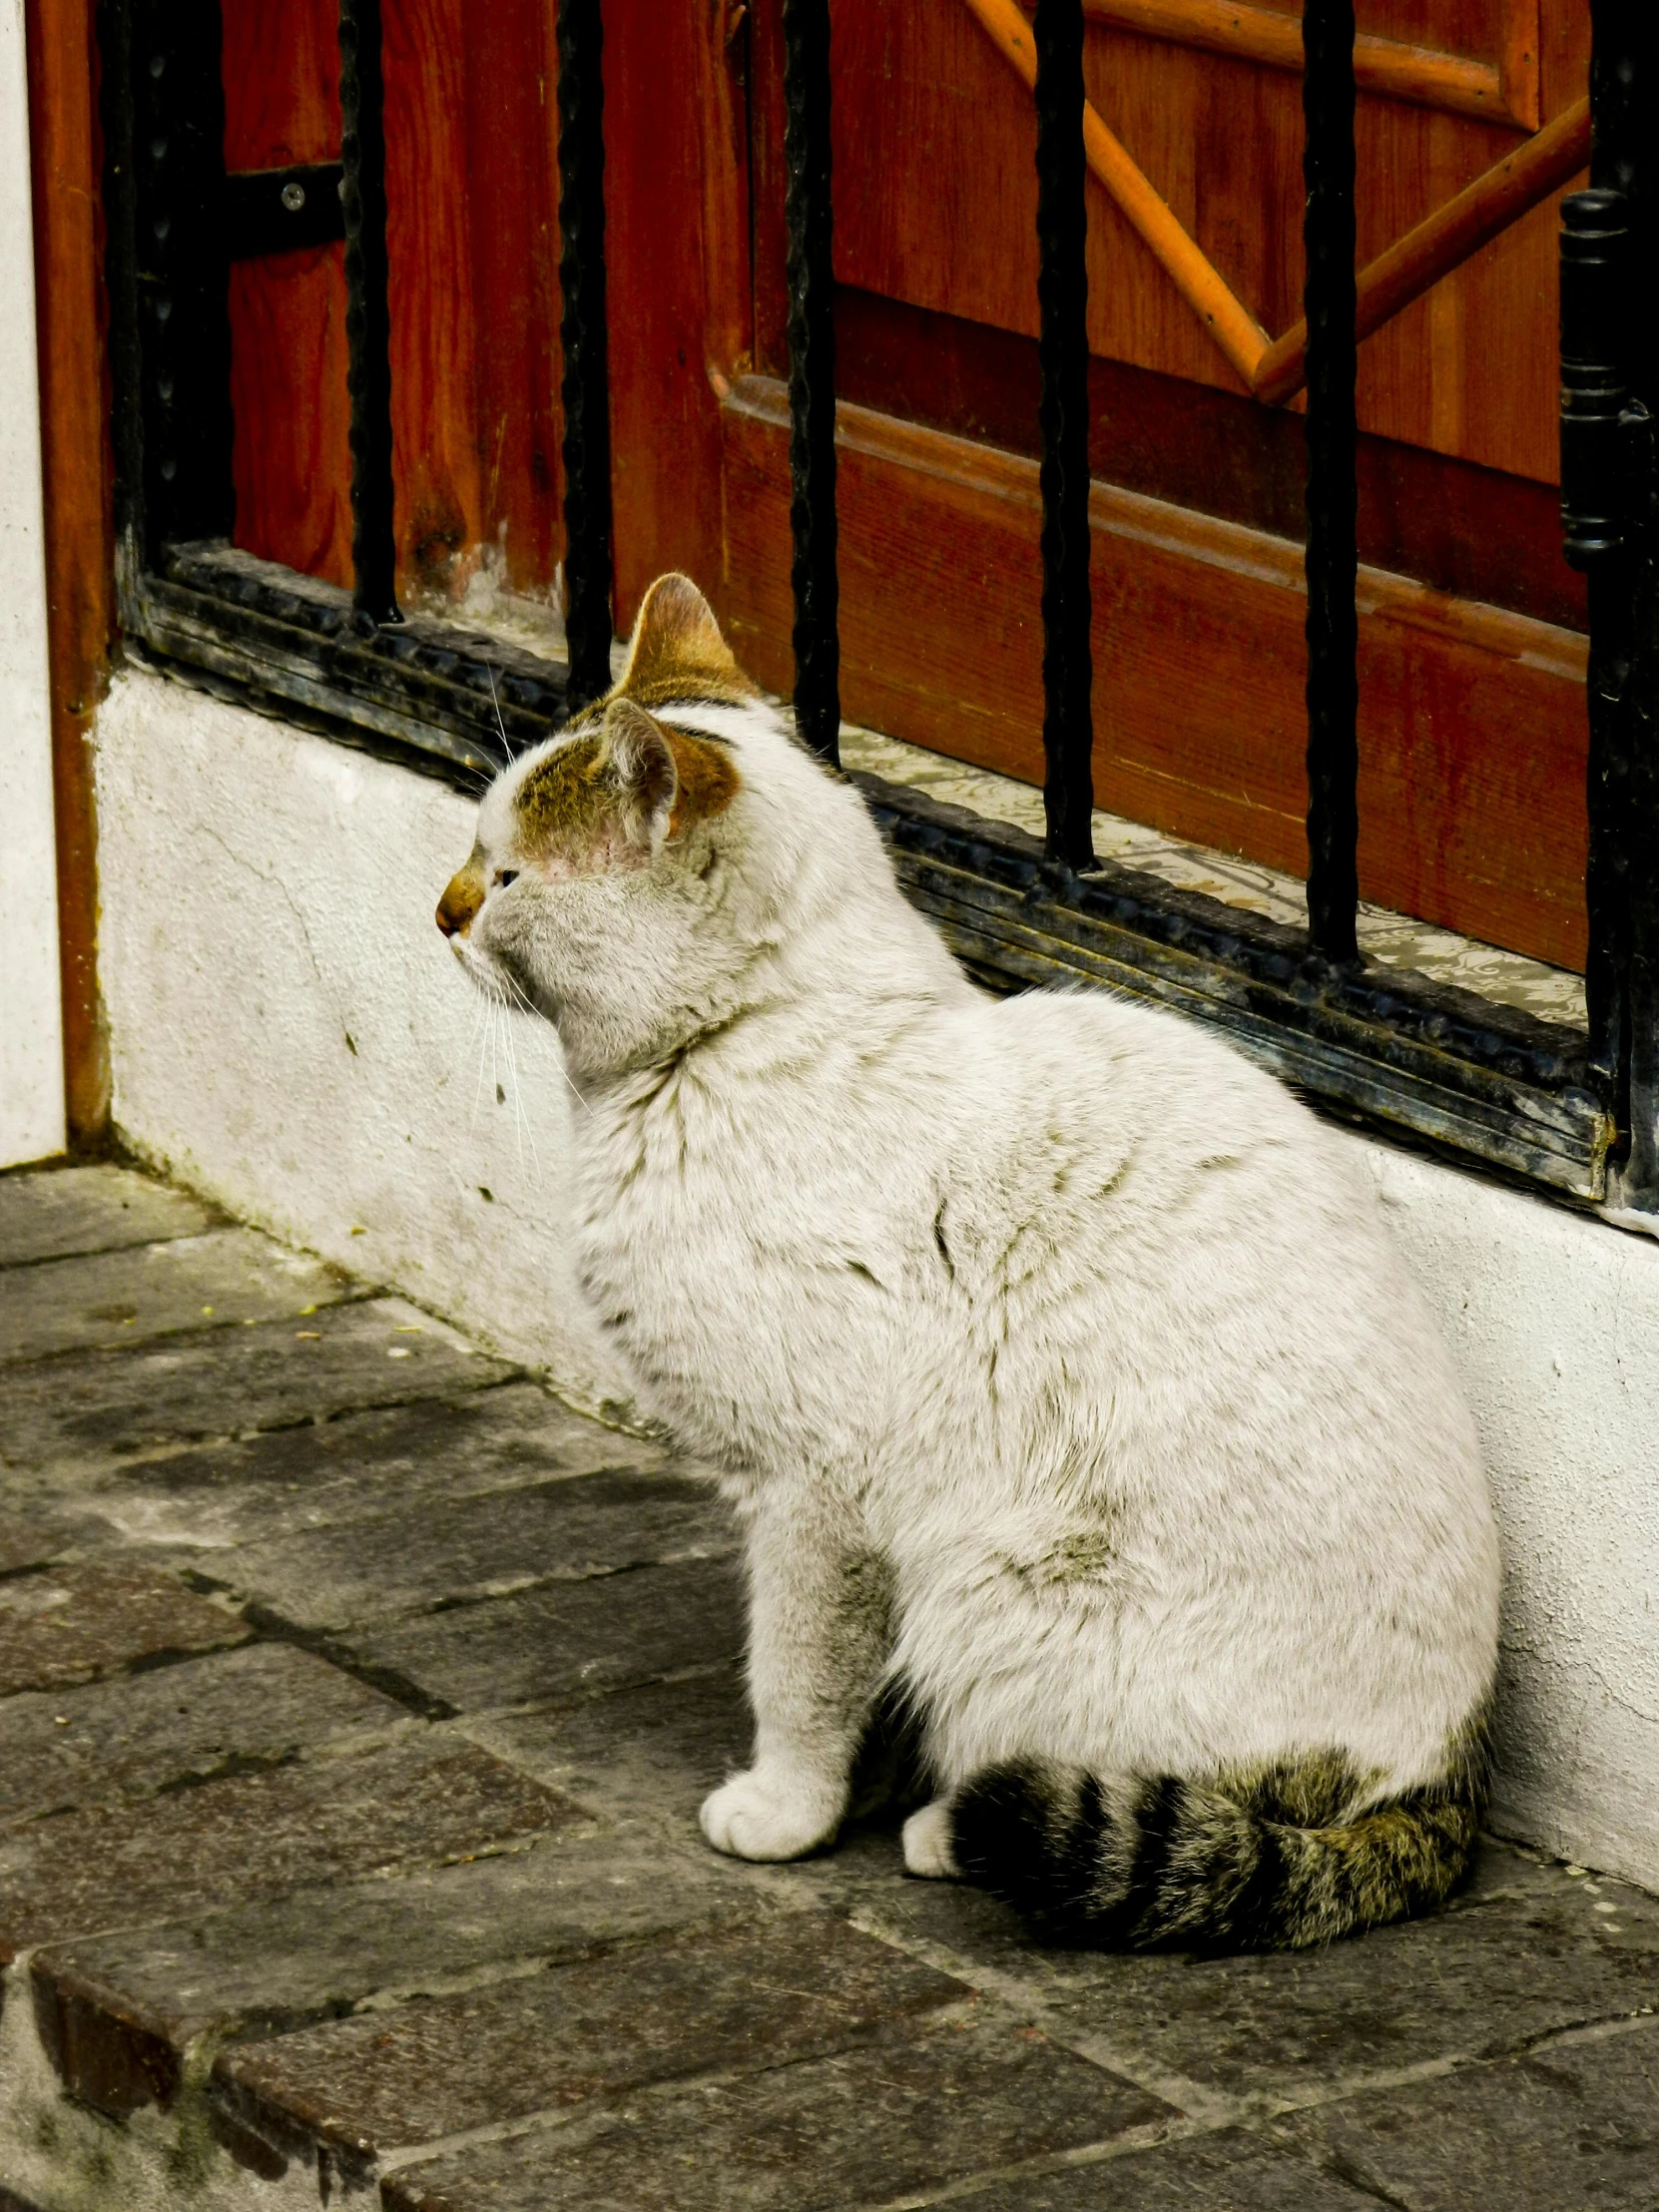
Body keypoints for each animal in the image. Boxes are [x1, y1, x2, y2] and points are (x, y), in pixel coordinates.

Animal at [444, 575, 1503, 1954]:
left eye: (509, 872)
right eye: (476, 857)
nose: (442, 909)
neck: (746, 1045)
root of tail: (1445, 1777)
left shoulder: (814, 1495)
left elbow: (799, 1673)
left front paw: (786, 1807)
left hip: (1003, 1591)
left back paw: (955, 1827)